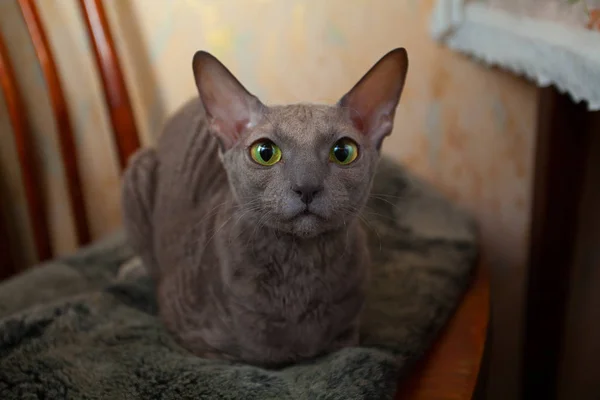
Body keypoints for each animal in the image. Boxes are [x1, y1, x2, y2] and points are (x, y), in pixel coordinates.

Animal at [123, 48, 408, 368]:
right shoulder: (192, 336)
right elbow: (251, 360)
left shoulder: (348, 337)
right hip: (137, 171)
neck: (300, 273)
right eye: (265, 152)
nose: (306, 186)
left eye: (343, 152)